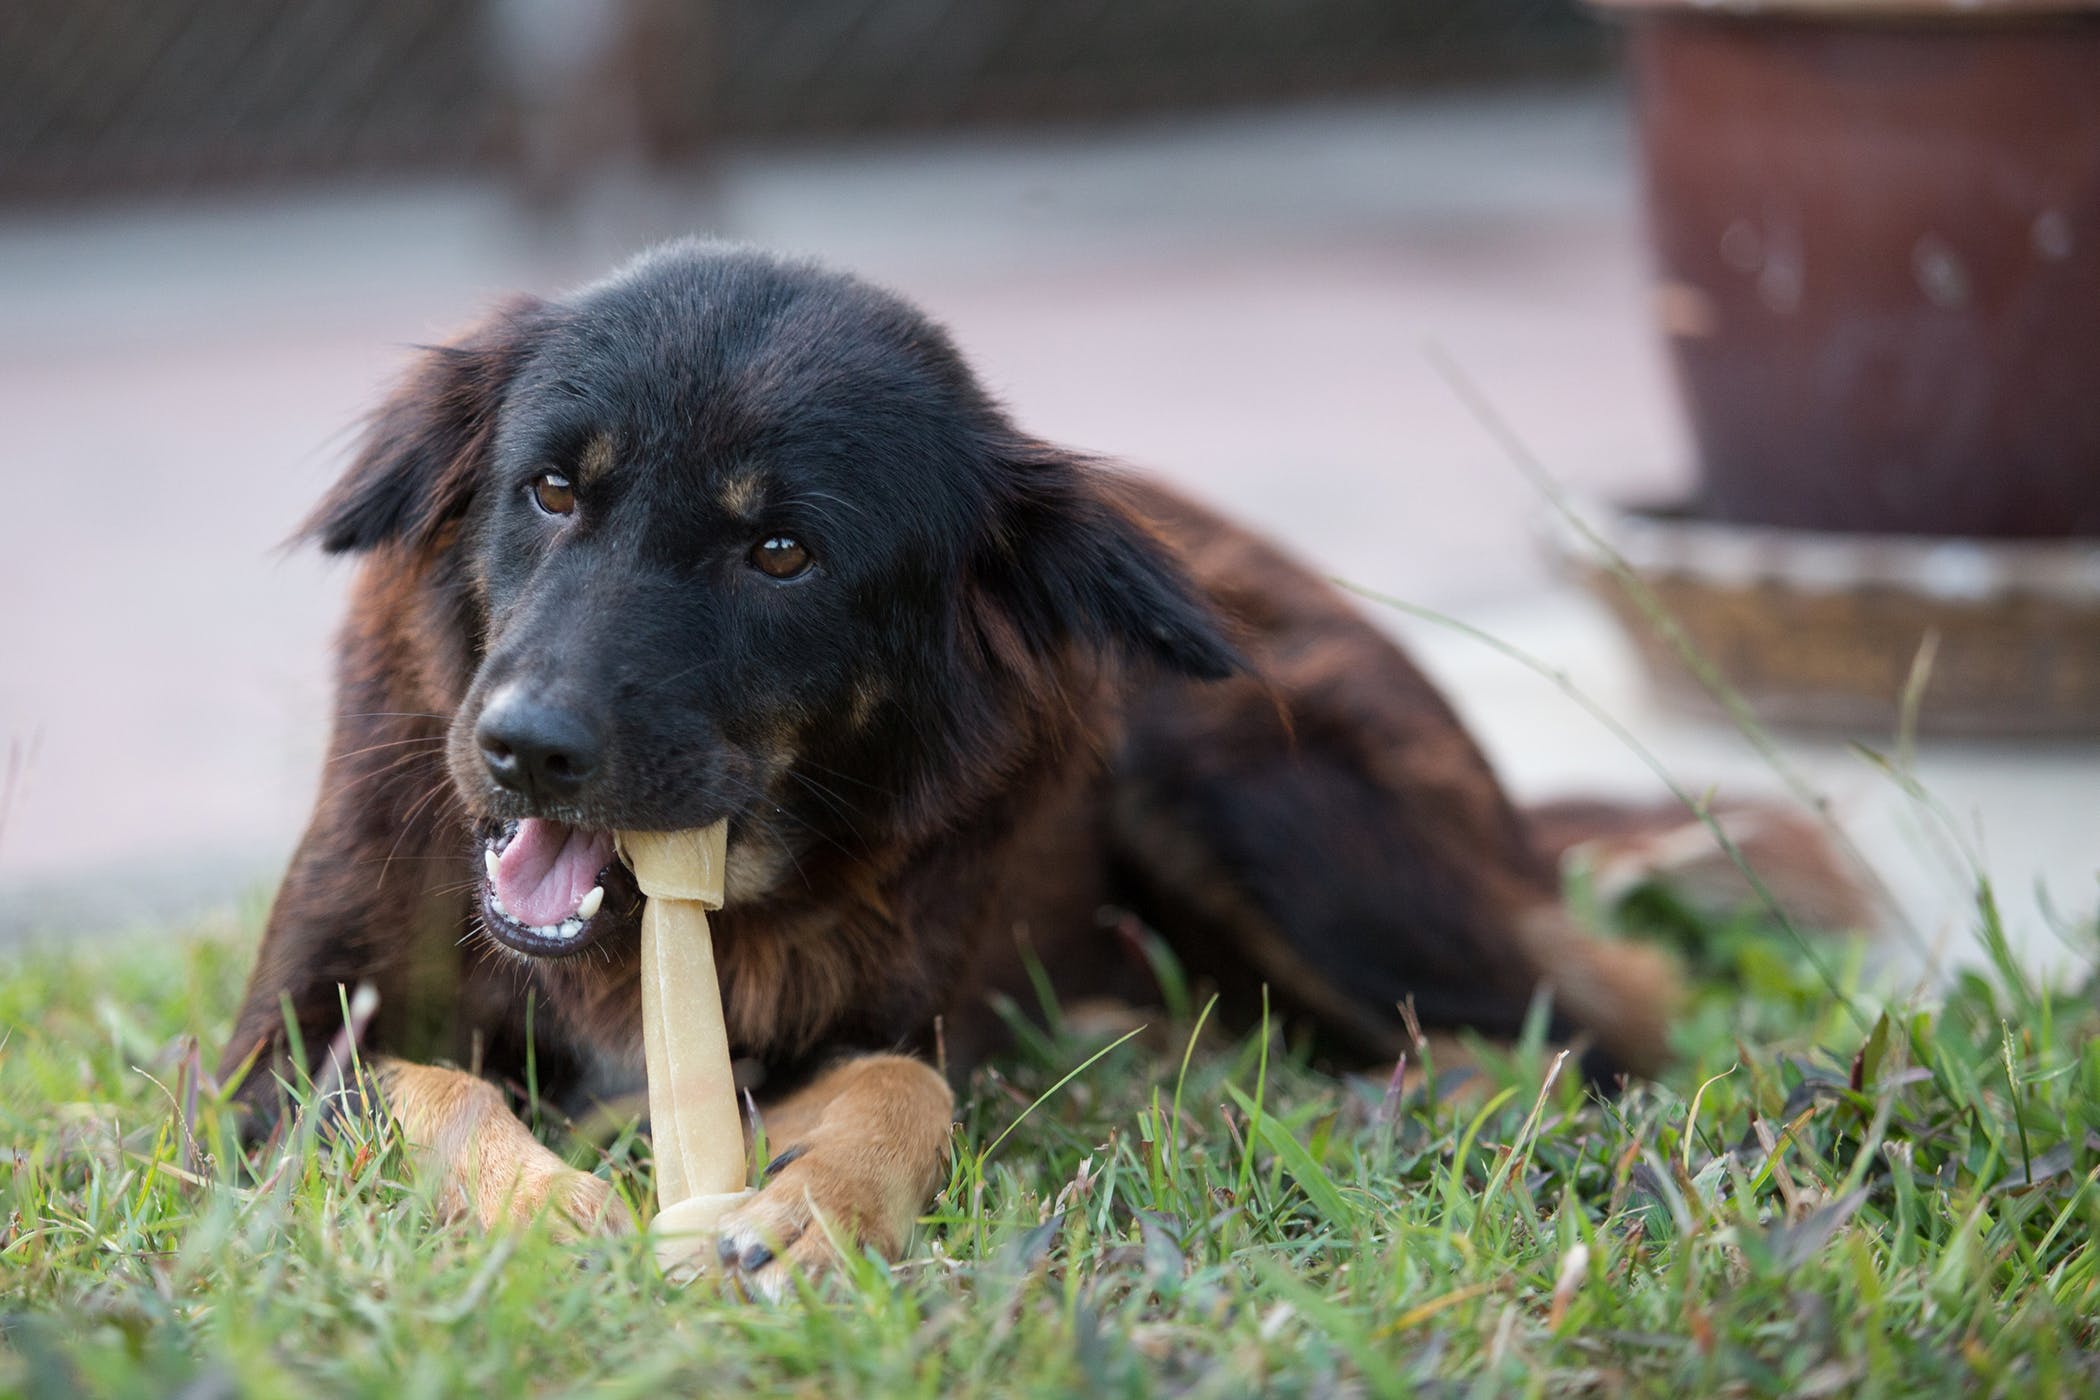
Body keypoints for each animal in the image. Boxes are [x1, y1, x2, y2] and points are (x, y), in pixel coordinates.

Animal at [221, 238, 1814, 1292]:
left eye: (781, 552)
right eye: (552, 490)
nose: (525, 750)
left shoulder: (893, 1016)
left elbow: (903, 1085)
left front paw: (815, 1211)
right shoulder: (259, 1065)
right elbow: (417, 1084)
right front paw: (537, 1209)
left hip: (1227, 775)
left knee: (1604, 1016)